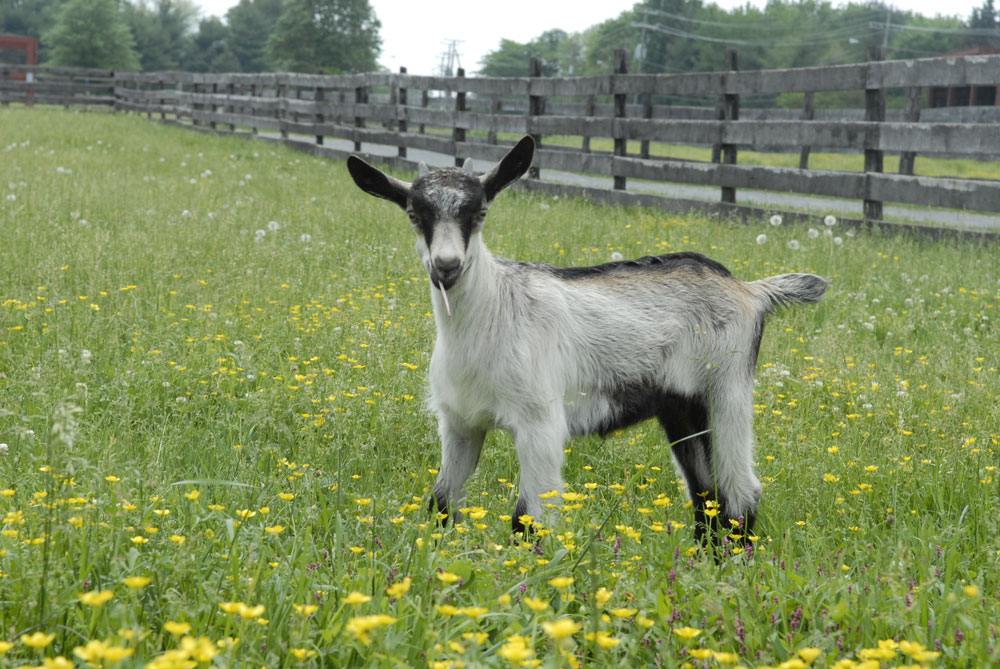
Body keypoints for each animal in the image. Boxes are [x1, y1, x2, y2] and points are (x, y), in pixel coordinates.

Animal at [348, 137, 832, 544]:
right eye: (414, 214)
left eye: (480, 212)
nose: (446, 265)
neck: (496, 311)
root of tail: (751, 290)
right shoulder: (460, 424)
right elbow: (443, 503)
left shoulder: (540, 422)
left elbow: (530, 519)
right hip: (681, 405)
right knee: (705, 492)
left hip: (727, 388)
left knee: (741, 491)